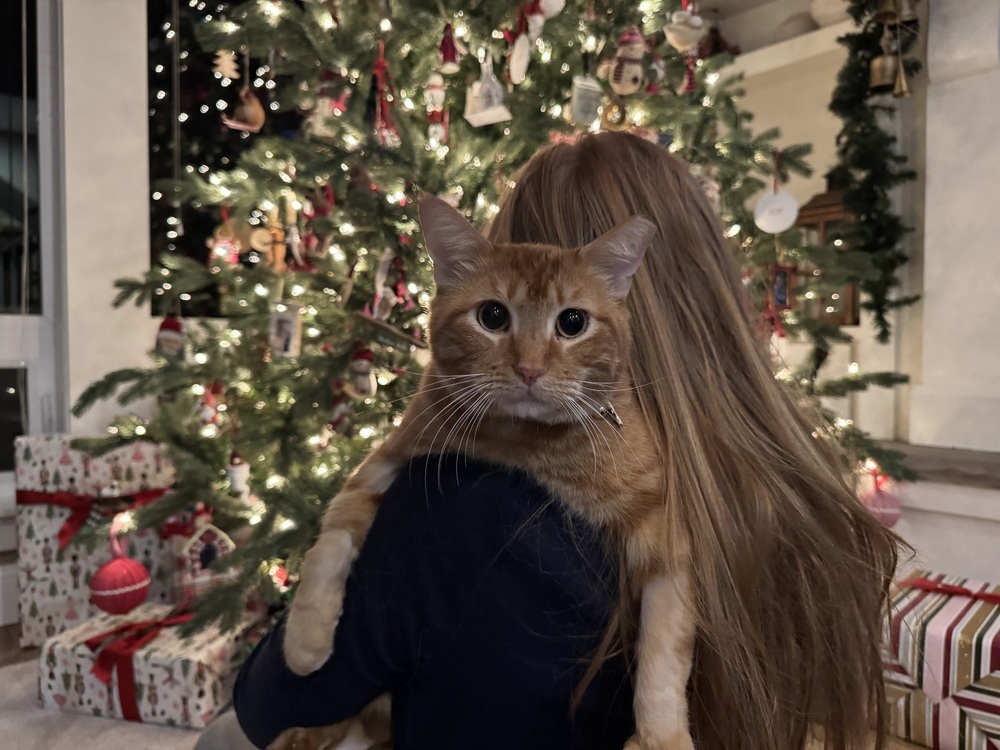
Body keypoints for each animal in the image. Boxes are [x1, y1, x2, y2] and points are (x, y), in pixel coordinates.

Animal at [282, 195, 696, 750]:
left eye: (572, 322)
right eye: (493, 316)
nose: (530, 369)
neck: (522, 445)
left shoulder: (662, 530)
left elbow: (666, 650)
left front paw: (660, 736)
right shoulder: (389, 457)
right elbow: (332, 536)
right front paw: (305, 636)